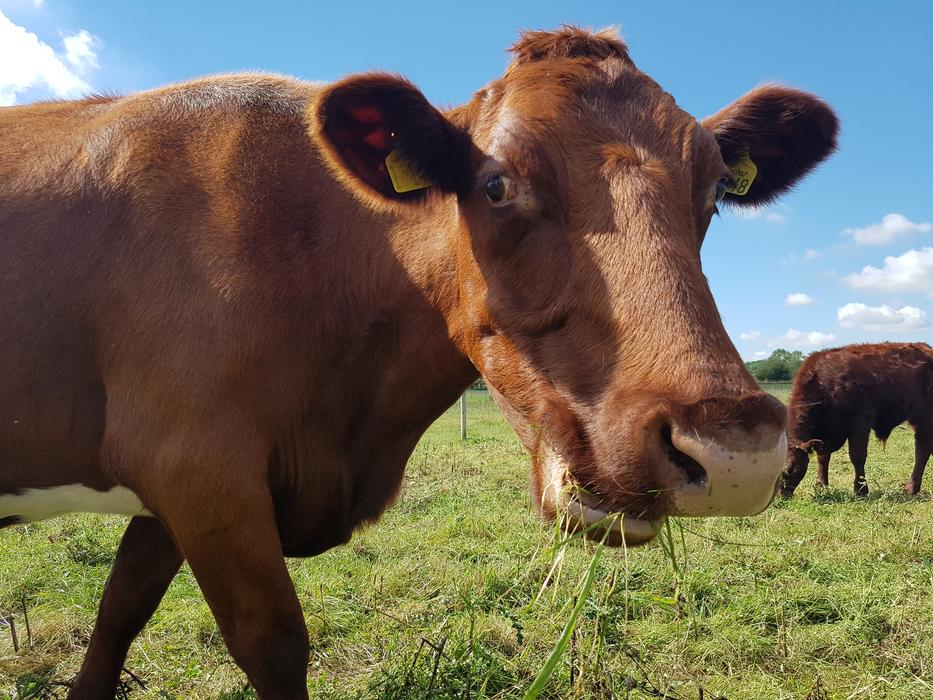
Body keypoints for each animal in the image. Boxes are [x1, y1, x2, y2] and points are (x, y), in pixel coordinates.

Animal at [0, 27, 837, 699]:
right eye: (496, 184)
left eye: (714, 191)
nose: (731, 451)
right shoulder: (197, 465)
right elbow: (272, 643)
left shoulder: (171, 491)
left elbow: (115, 621)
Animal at [781, 342, 933, 497]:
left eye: (788, 470)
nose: (782, 496)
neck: (823, 383)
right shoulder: (825, 435)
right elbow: (823, 458)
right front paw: (821, 485)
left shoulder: (860, 423)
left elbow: (857, 456)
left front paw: (860, 489)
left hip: (923, 417)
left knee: (922, 450)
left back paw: (911, 488)